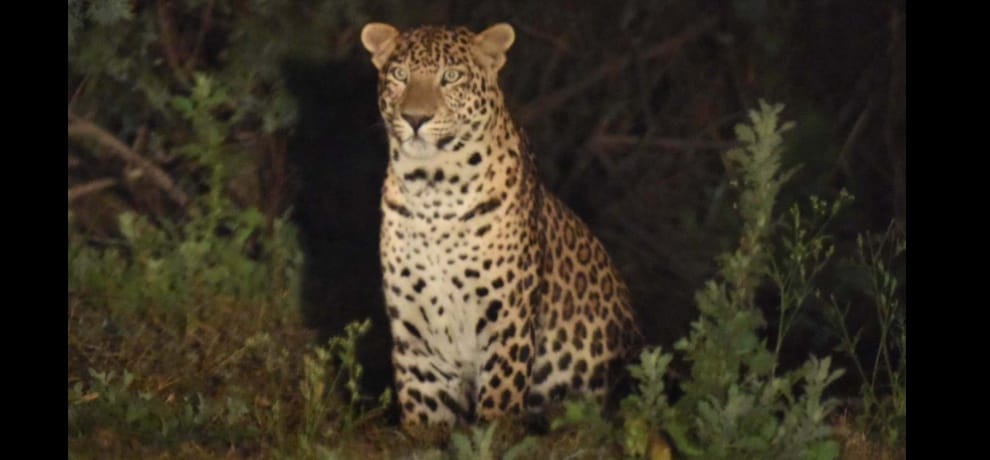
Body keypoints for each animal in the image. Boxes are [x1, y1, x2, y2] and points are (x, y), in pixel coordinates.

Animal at [359, 22, 640, 435]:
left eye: (451, 77)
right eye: (399, 75)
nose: (414, 119)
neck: (433, 192)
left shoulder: (507, 318)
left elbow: (499, 406)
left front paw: (495, 432)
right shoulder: (417, 335)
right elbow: (424, 416)